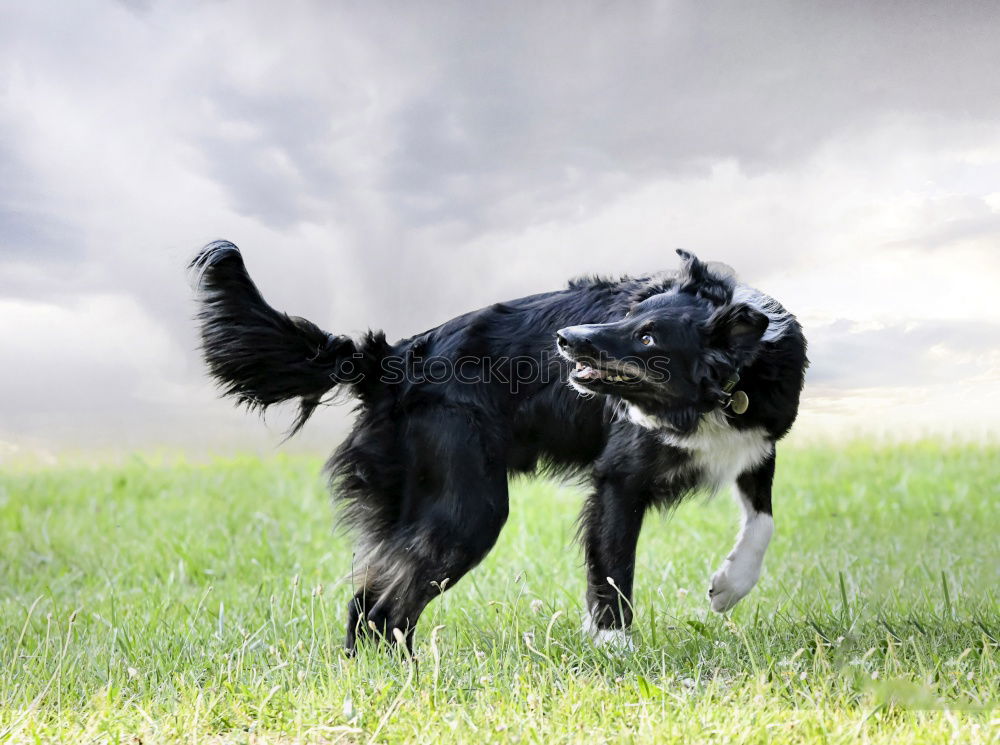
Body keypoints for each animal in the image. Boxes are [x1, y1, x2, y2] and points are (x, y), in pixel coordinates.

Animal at [191, 244, 808, 652]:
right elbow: (613, 569)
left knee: (369, 598)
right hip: (469, 507)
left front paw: (728, 587)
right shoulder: (619, 478)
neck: (731, 387)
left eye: (648, 336)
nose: (565, 339)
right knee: (385, 601)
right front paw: (614, 649)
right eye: (630, 313)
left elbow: (764, 521)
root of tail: (390, 358)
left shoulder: (756, 445)